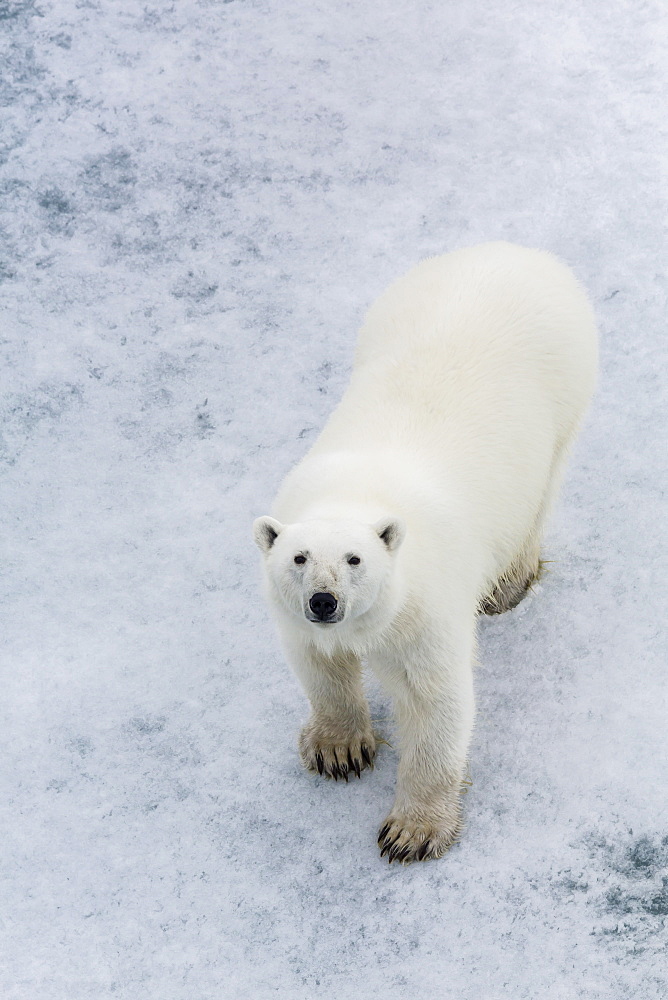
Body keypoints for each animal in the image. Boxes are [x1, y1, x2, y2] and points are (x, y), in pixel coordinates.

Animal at [253, 240, 596, 860]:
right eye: (299, 558)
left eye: (355, 560)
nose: (324, 602)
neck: (358, 491)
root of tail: (515, 250)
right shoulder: (296, 614)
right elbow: (318, 663)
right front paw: (338, 749)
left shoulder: (424, 607)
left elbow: (435, 700)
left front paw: (412, 831)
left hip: (565, 385)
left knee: (544, 485)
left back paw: (508, 587)